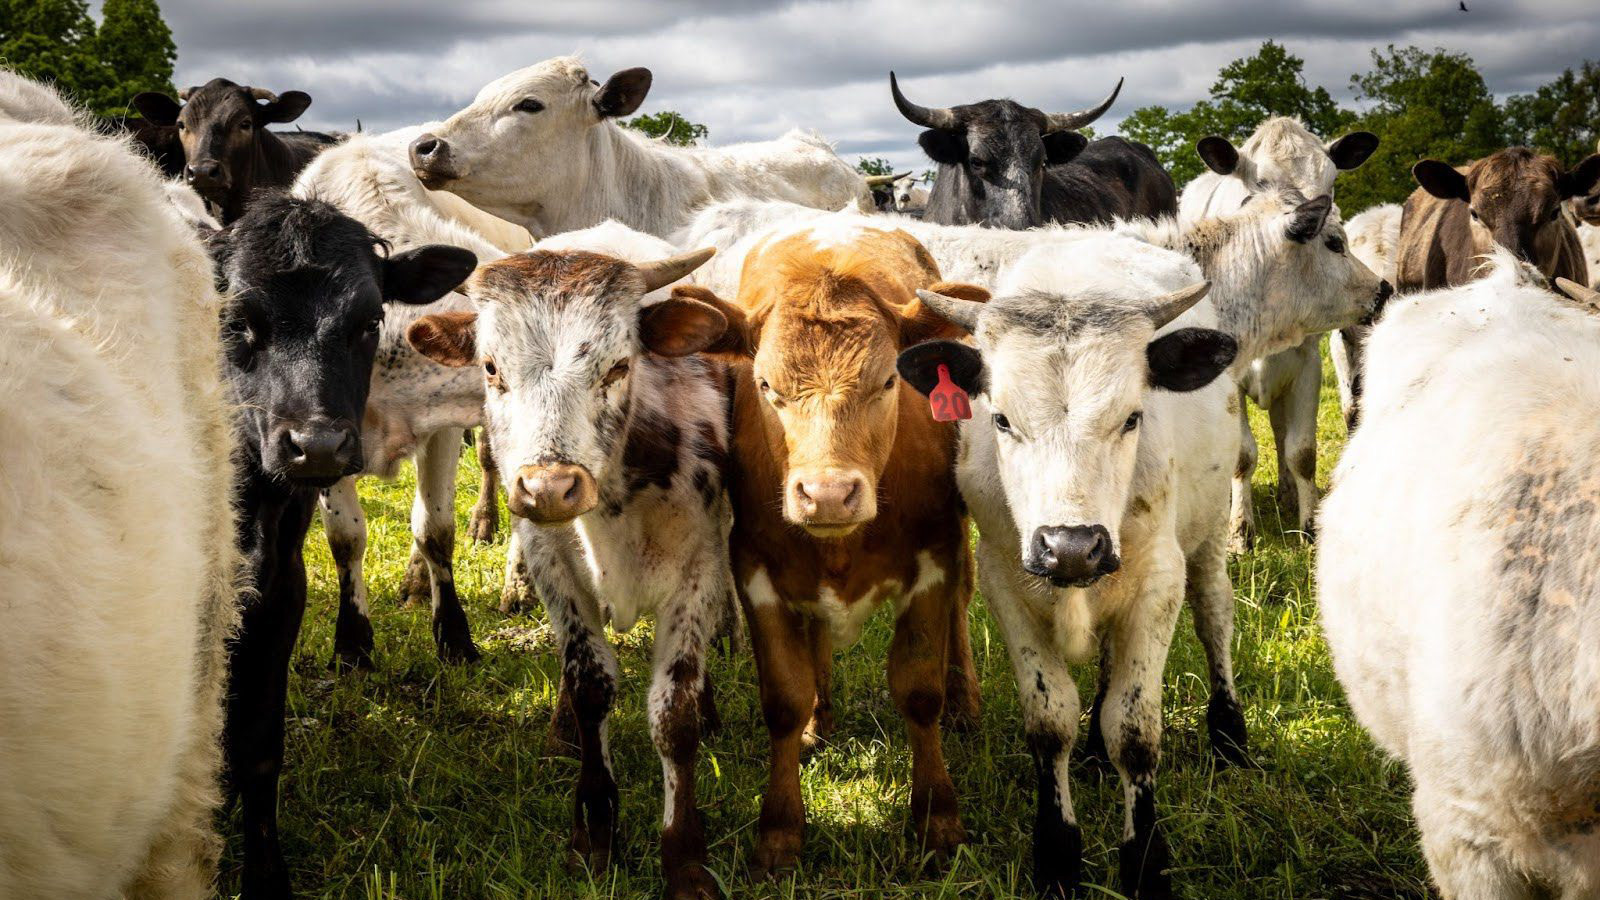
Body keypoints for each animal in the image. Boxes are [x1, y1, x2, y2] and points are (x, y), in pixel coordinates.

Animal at [210, 194, 476, 895]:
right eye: (238, 320)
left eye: (369, 319)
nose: (320, 446)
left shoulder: (281, 585)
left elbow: (259, 742)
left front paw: (265, 875)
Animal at [406, 245, 730, 900]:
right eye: (490, 367)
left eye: (619, 366)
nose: (550, 487)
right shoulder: (552, 567)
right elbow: (590, 686)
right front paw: (595, 830)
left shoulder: (700, 572)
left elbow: (674, 713)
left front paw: (684, 856)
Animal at [695, 220, 985, 877]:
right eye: (765, 385)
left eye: (888, 381)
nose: (827, 494)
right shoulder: (755, 569)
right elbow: (783, 696)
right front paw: (779, 831)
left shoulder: (934, 558)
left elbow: (919, 690)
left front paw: (938, 819)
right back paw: (818, 721)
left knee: (961, 608)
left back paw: (965, 703)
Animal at [898, 237, 1237, 899]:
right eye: (1001, 419)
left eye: (1132, 417)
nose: (1071, 545)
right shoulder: (1006, 581)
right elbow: (1051, 719)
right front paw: (1057, 854)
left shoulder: (1159, 580)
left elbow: (1135, 727)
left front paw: (1144, 863)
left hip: (1209, 531)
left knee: (1215, 615)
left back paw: (1231, 734)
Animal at [1177, 118, 1381, 548]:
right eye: (1258, 183)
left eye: (1331, 183)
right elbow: (1241, 456)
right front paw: (1240, 533)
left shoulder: (1307, 364)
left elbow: (1301, 451)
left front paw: (1309, 525)